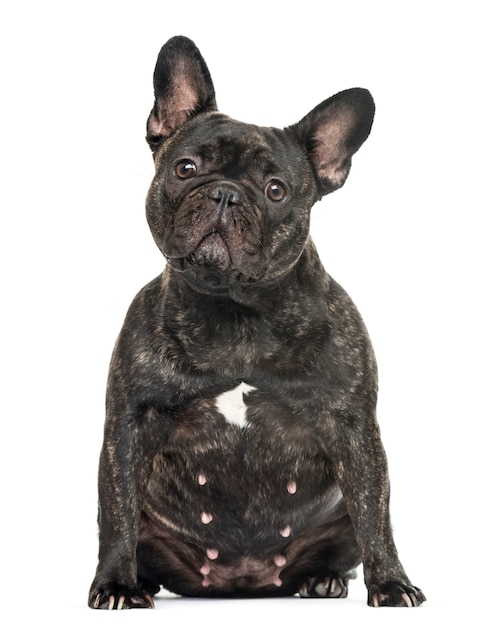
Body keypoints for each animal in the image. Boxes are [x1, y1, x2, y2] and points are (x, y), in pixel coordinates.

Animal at [87, 35, 424, 608]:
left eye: (275, 190)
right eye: (185, 168)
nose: (225, 192)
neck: (235, 311)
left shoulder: (355, 431)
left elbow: (376, 515)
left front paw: (392, 583)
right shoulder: (130, 426)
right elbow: (117, 515)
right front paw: (114, 584)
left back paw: (322, 579)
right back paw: (142, 581)